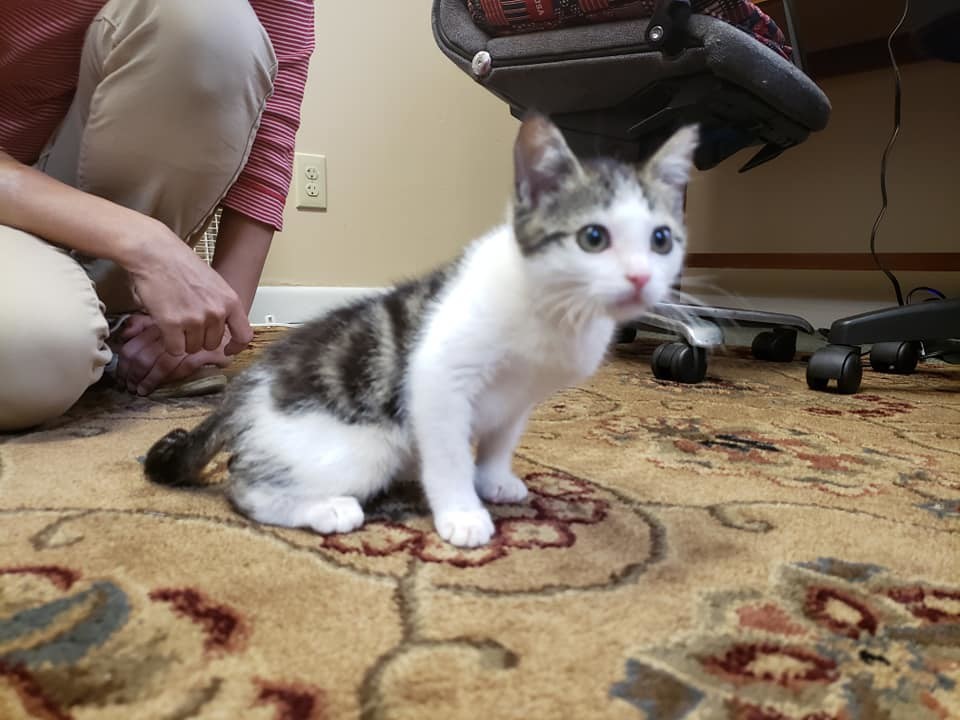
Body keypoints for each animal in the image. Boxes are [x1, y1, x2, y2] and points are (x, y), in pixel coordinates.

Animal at [144, 115, 696, 548]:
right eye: (593, 237)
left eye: (662, 239)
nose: (640, 278)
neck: (556, 310)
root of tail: (247, 388)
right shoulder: (438, 379)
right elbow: (448, 456)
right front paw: (463, 514)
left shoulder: (519, 398)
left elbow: (500, 440)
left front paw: (494, 479)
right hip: (362, 446)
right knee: (245, 484)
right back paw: (327, 508)